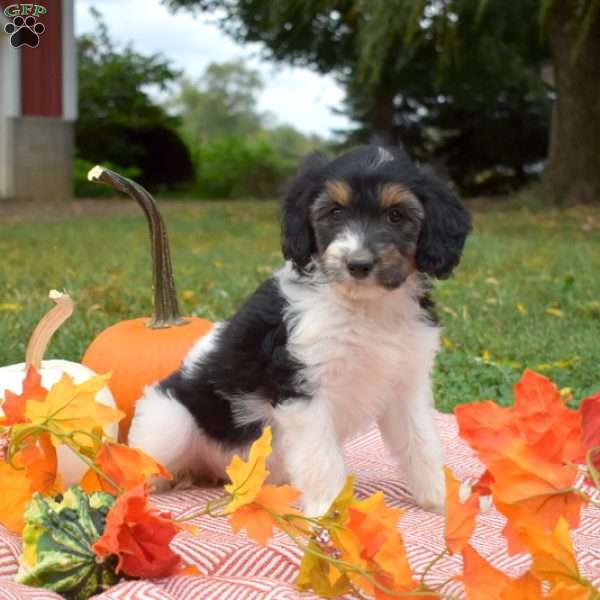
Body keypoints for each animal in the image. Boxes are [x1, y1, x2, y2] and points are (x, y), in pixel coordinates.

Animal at [129, 145, 472, 516]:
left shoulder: (406, 386)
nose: (358, 265)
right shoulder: (303, 389)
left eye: (396, 216)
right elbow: (321, 459)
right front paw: (330, 516)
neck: (364, 308)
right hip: (170, 422)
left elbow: (422, 444)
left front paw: (443, 500)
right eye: (335, 212)